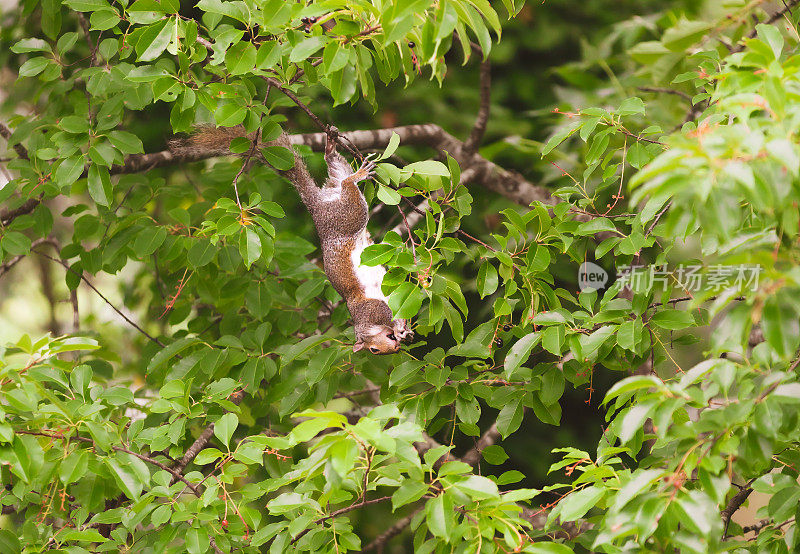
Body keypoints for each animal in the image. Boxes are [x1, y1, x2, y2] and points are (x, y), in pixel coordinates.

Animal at [171, 125, 416, 354]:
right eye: (375, 350)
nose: (396, 348)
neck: (364, 325)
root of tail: (316, 207)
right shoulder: (374, 308)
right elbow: (392, 311)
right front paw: (403, 329)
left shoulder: (372, 309)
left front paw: (401, 329)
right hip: (343, 205)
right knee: (342, 177)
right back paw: (340, 159)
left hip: (344, 212)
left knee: (343, 179)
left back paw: (343, 159)